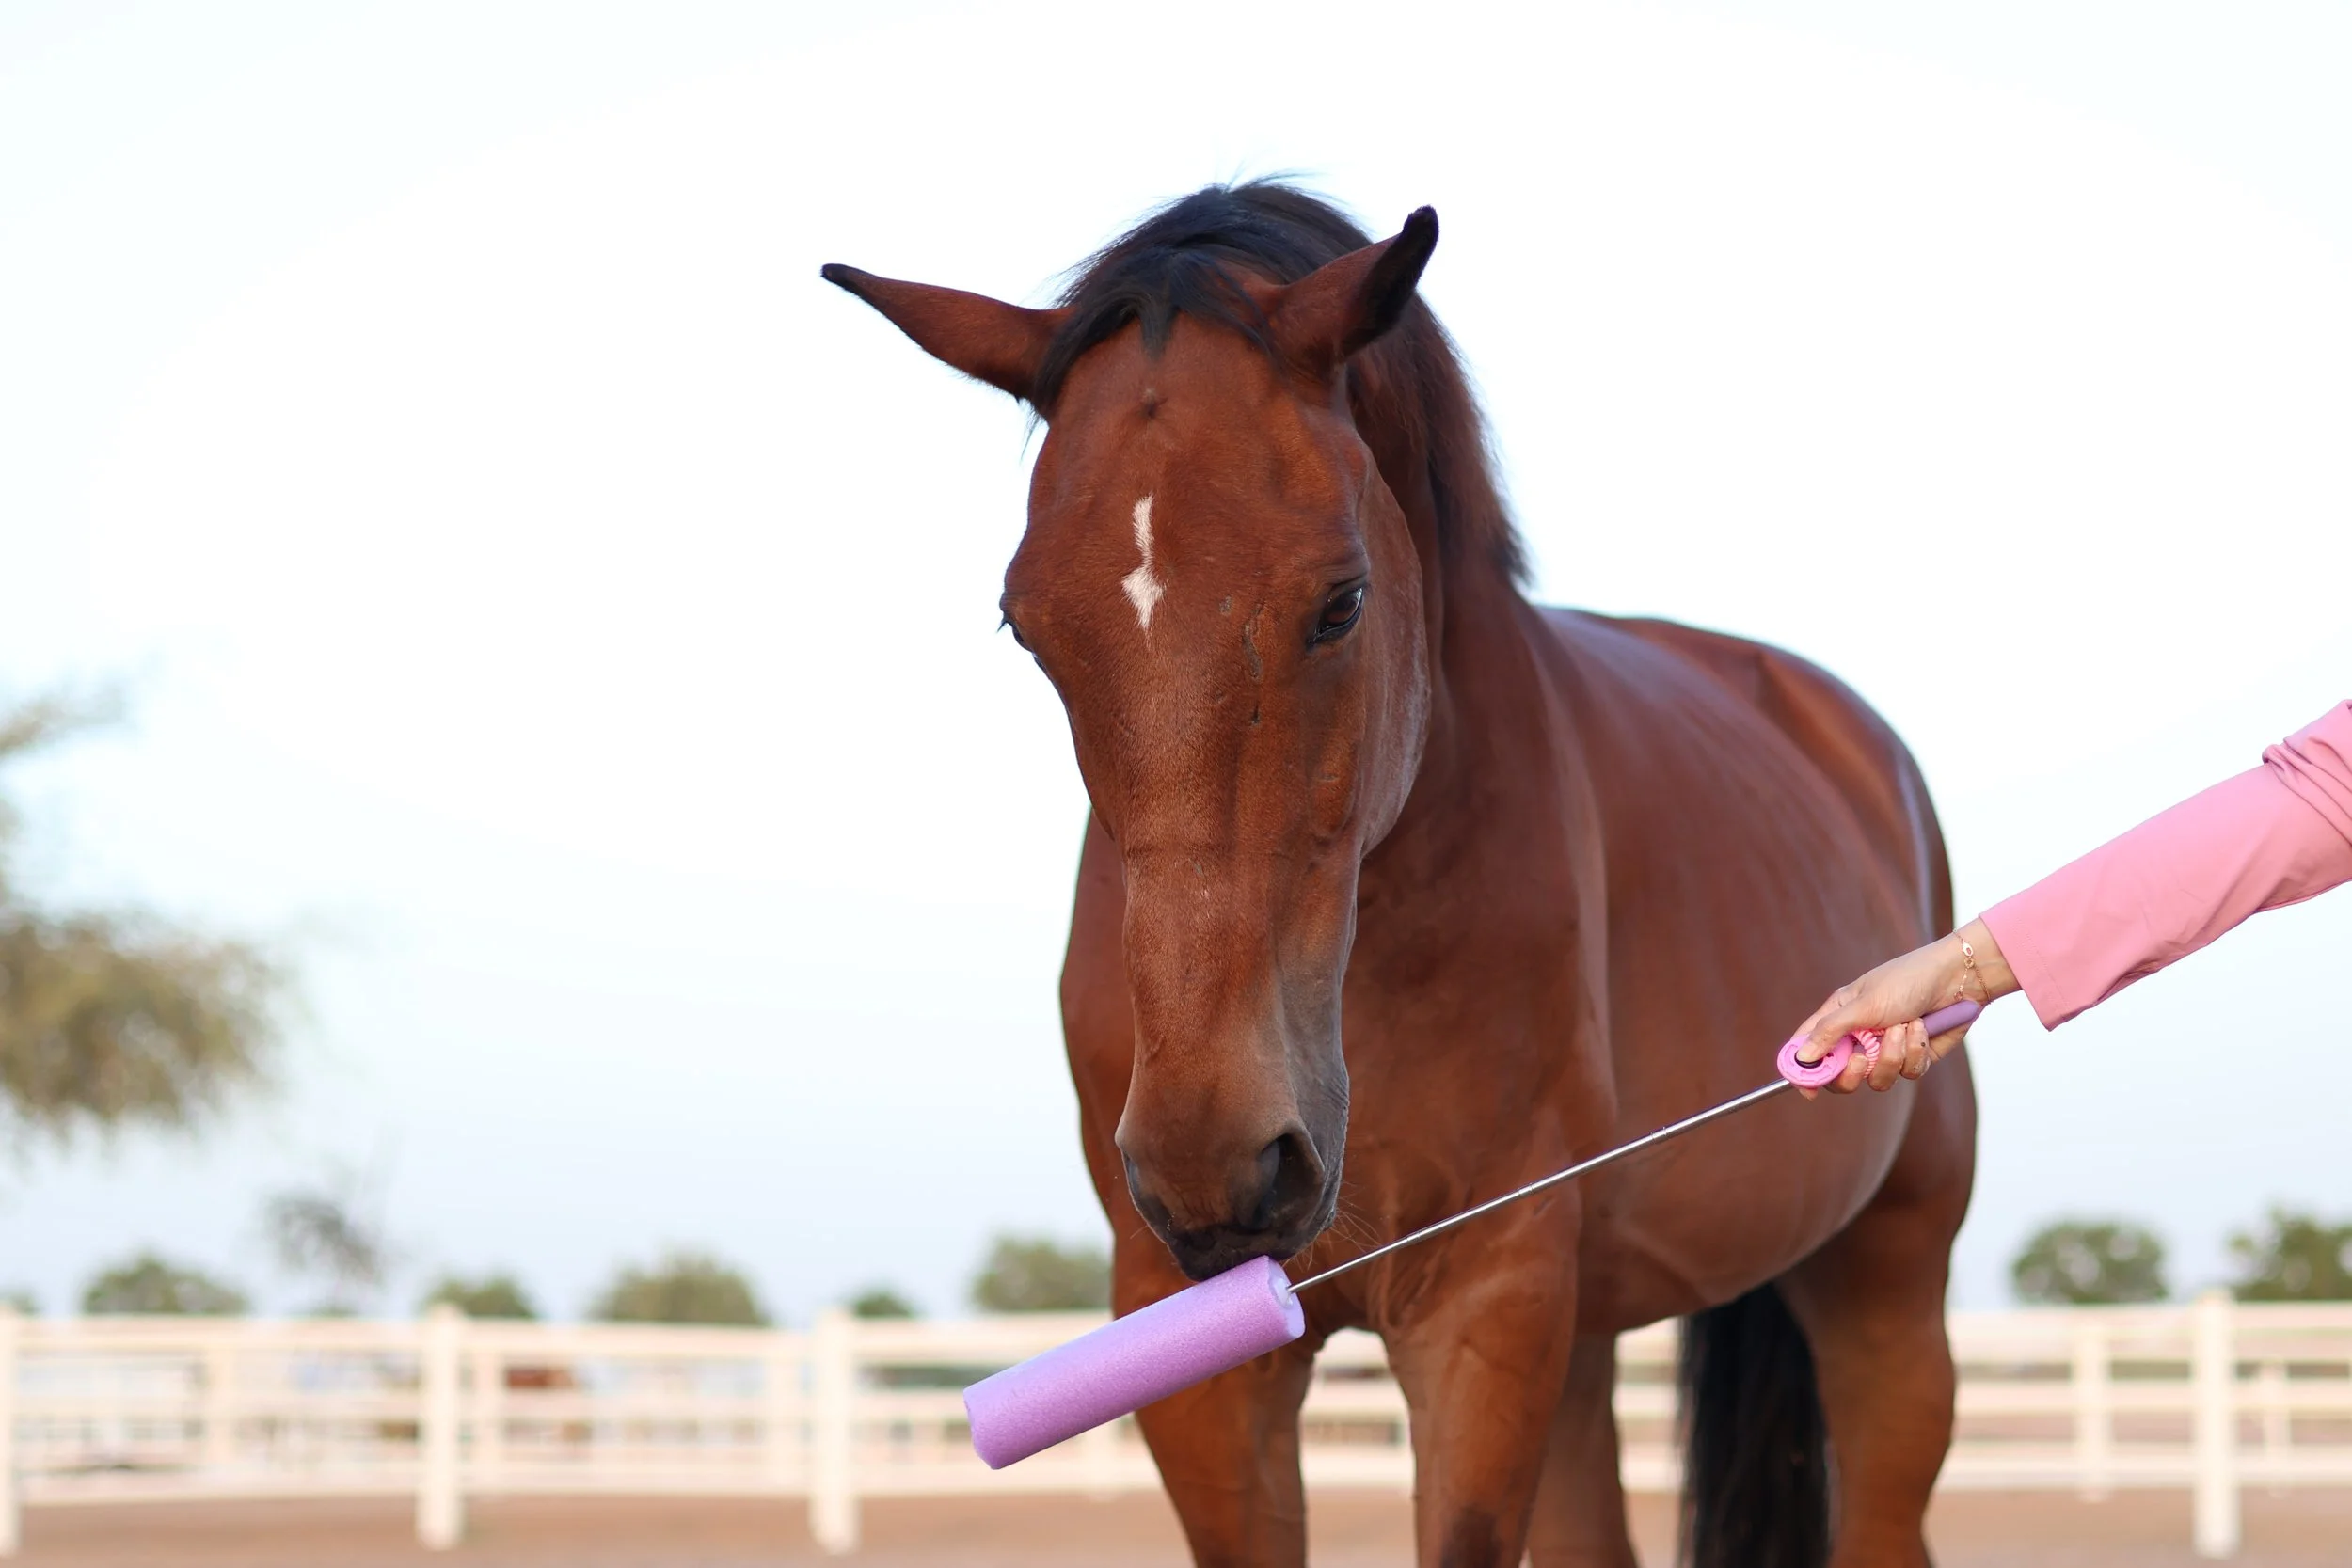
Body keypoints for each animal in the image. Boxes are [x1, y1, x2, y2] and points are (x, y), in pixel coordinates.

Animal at [824, 182, 1976, 1568]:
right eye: (1026, 627)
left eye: (1341, 601)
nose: (1216, 1157)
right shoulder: (1201, 1346)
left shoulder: (1484, 1304)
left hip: (1881, 1293)